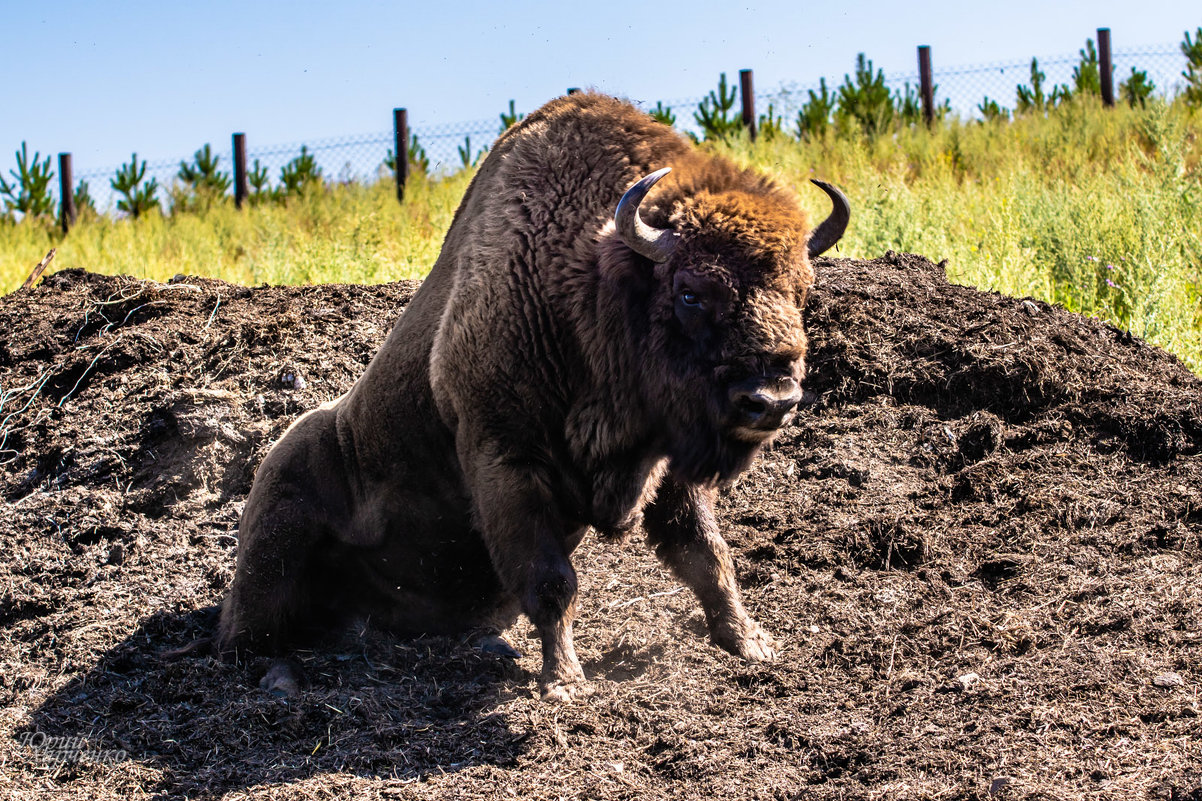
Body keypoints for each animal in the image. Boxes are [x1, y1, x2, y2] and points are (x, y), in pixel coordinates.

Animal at [221, 92, 851, 697]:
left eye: (801, 290)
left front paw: (752, 642)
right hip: (274, 545)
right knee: (244, 638)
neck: (591, 283)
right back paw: (278, 677)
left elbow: (706, 553)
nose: (772, 399)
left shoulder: (671, 460)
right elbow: (552, 581)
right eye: (690, 292)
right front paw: (564, 682)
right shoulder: (507, 460)